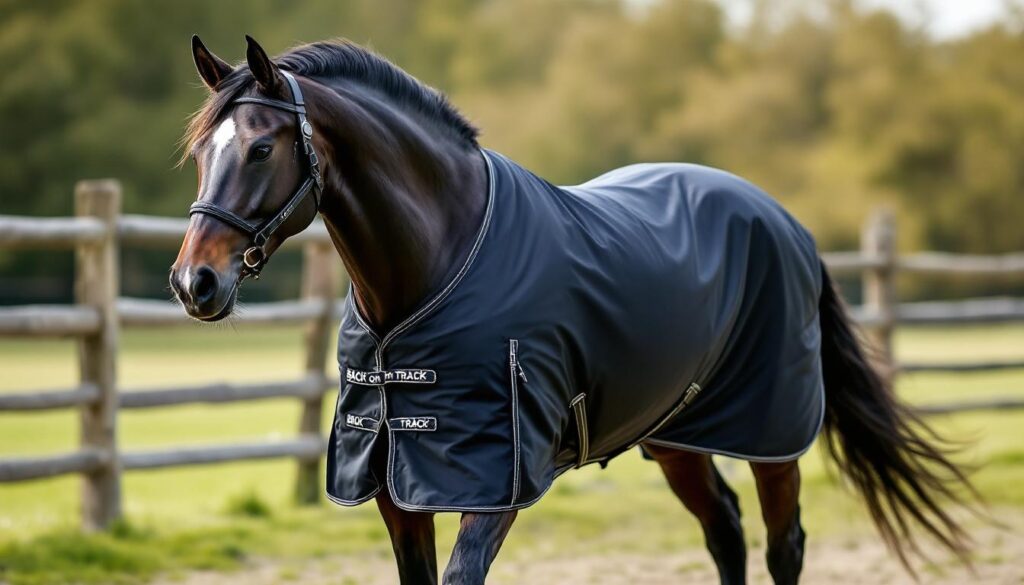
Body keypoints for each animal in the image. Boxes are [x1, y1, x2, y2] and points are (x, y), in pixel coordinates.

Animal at [170, 35, 975, 585]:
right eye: (202, 154)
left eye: (262, 148)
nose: (193, 283)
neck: (437, 268)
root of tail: (786, 223)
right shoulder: (397, 486)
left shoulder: (497, 480)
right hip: (676, 434)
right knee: (725, 529)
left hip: (770, 434)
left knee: (784, 544)